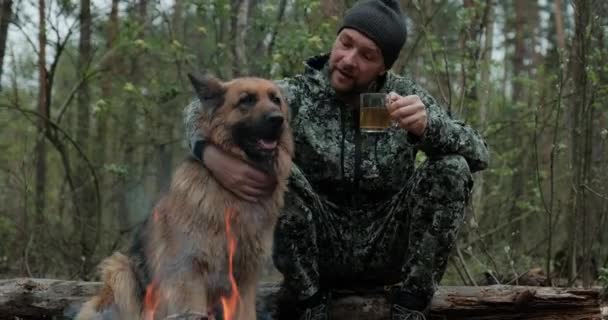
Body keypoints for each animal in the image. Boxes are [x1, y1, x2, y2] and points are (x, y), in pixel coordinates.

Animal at [75, 74, 294, 318]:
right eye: (246, 100)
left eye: (276, 100)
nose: (278, 119)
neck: (230, 195)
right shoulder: (187, 275)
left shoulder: (244, 281)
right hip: (121, 270)